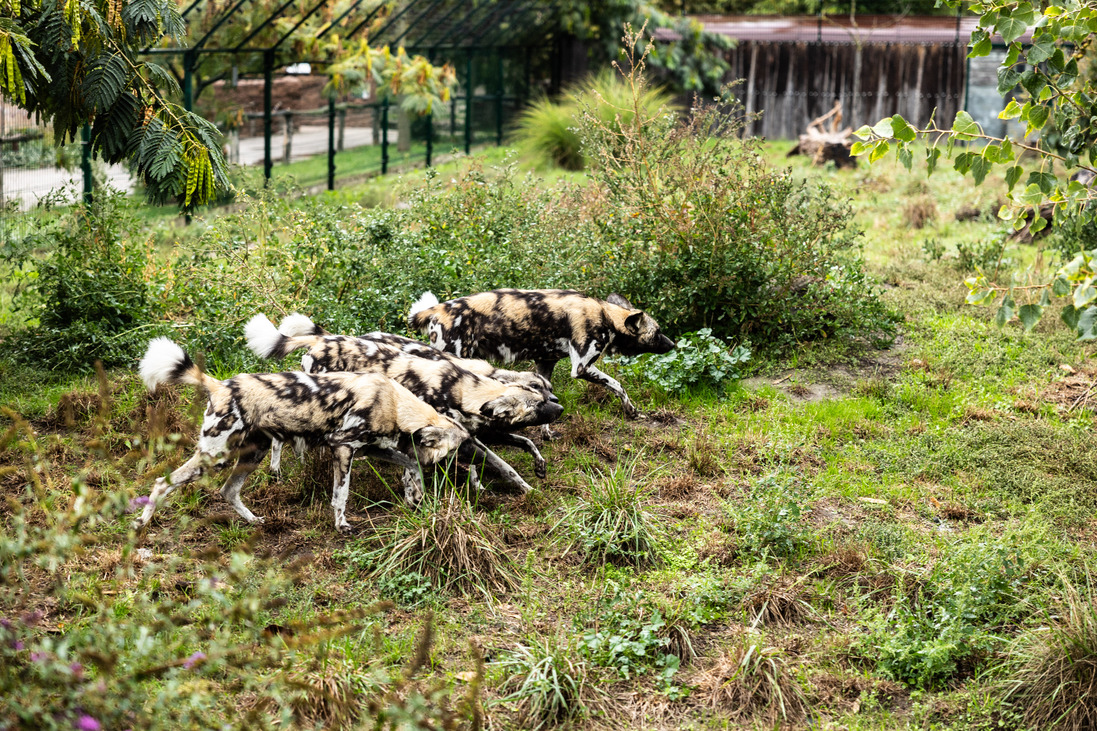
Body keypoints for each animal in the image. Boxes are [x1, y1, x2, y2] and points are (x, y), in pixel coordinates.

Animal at [133, 335, 467, 529]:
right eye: (458, 448)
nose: (466, 462)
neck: (396, 404)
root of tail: (220, 384)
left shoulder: (373, 447)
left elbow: (411, 464)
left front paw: (415, 494)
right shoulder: (342, 447)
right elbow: (341, 494)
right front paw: (342, 525)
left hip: (252, 453)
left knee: (228, 490)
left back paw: (254, 521)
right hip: (215, 455)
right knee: (163, 483)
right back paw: (141, 523)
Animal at [247, 313, 566, 489]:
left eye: (546, 393)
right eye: (538, 401)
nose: (561, 406)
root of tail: (324, 340)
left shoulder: (481, 434)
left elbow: (520, 448)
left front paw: (530, 477)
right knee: (279, 440)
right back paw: (278, 470)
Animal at [408, 287, 671, 419]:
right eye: (657, 333)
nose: (672, 345)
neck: (606, 315)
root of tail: (435, 309)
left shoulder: (545, 363)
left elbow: (547, 396)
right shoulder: (581, 367)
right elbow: (618, 386)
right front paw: (632, 411)